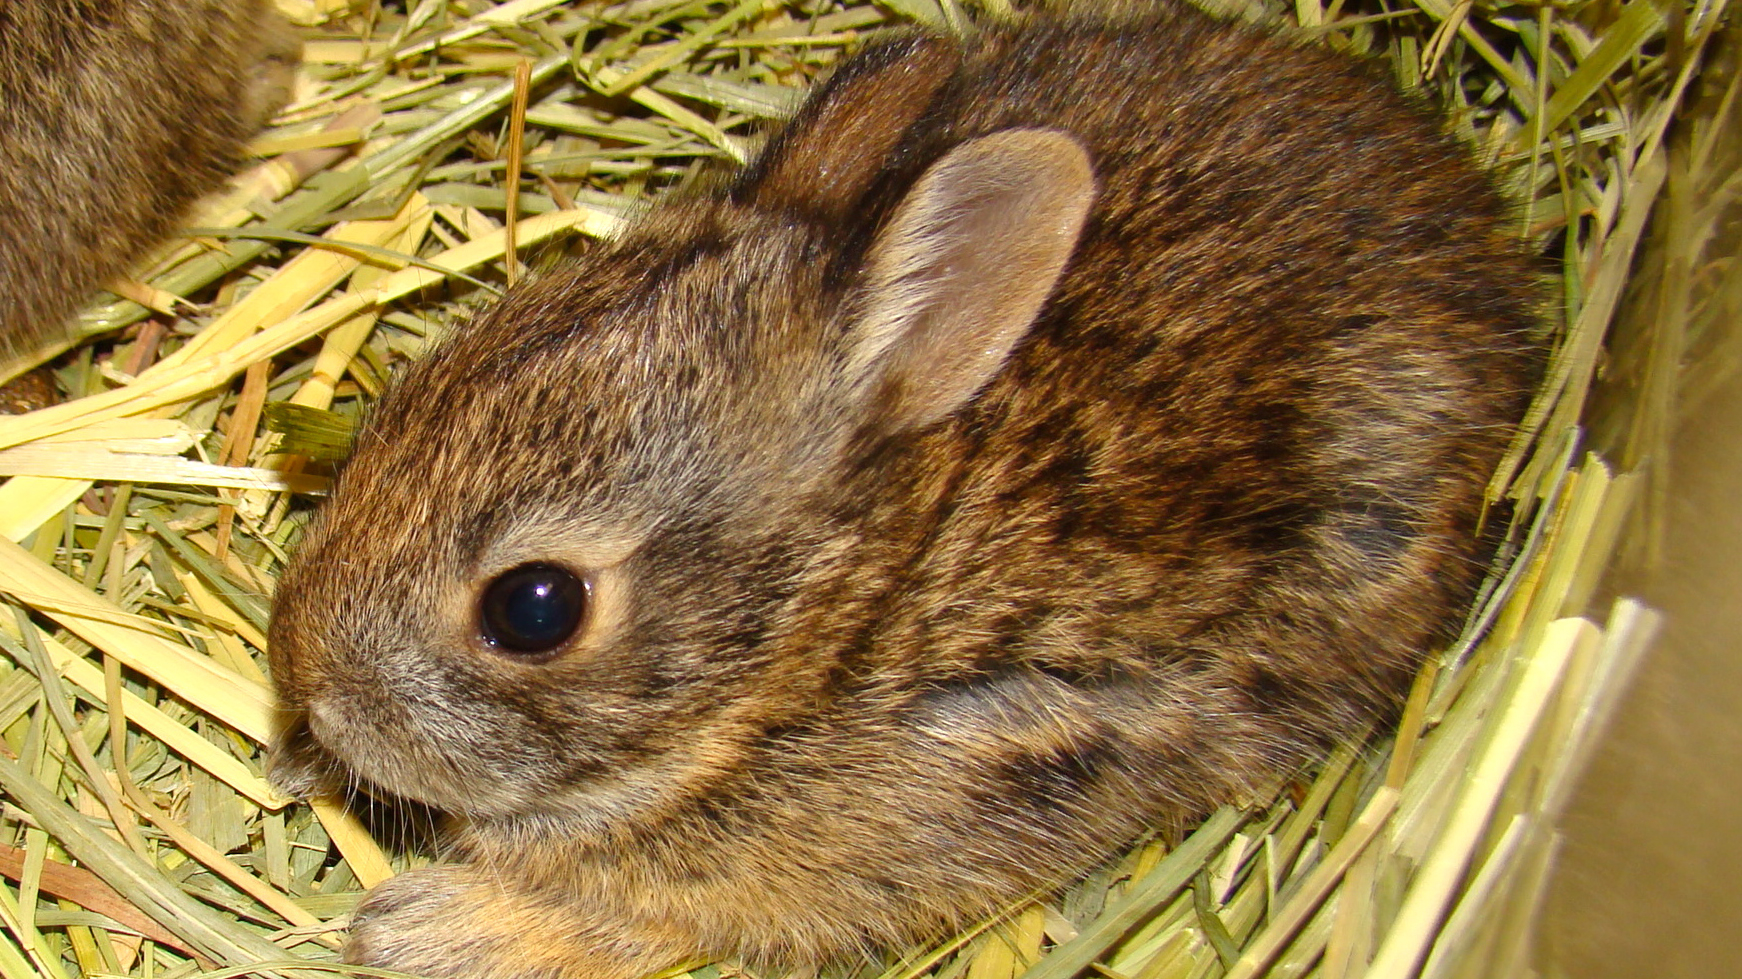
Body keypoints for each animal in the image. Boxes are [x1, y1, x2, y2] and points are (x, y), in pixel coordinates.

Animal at [268, 3, 1539, 968]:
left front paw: (422, 929)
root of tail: (1481, 244)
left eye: (533, 607)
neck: (825, 628)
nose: (309, 684)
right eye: (413, 392)